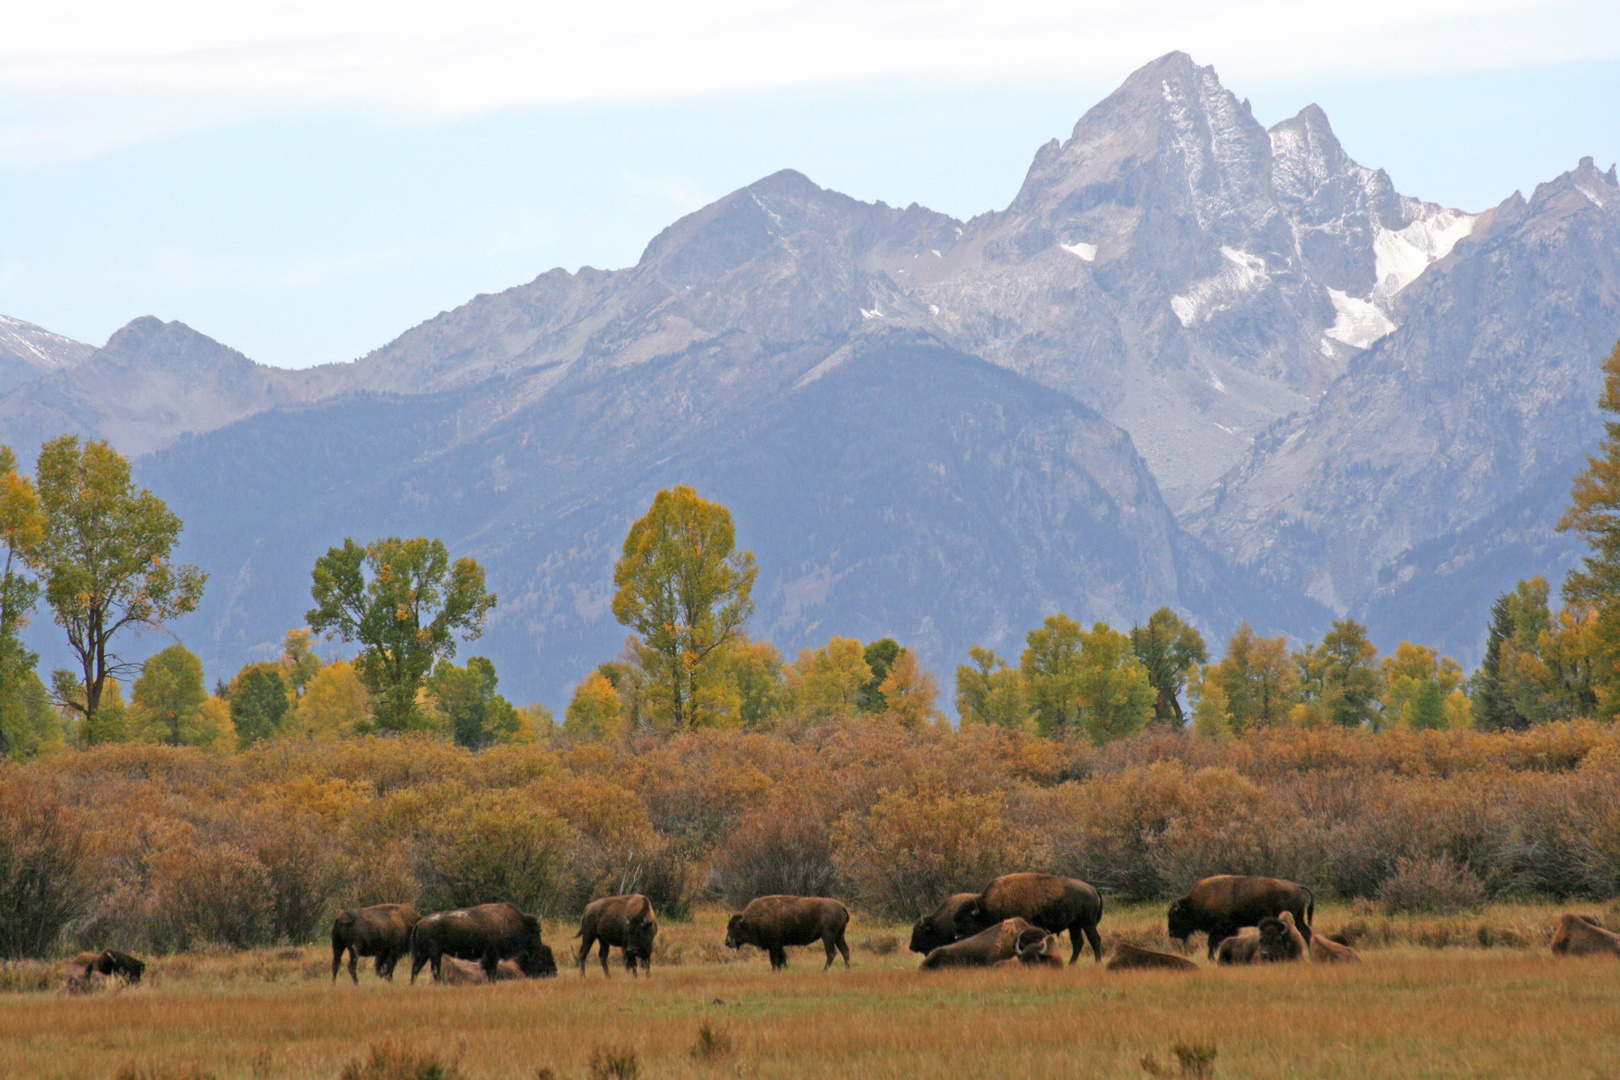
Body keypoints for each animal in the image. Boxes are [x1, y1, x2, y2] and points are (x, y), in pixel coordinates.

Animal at [405, 900, 557, 984]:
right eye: (536, 931)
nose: (539, 947)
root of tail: (419, 923)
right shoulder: (492, 955)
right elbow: (491, 970)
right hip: (434, 954)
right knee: (431, 970)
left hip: (425, 954)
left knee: (416, 968)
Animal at [952, 874, 1108, 965]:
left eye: (967, 920)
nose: (957, 937)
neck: (986, 907)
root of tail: (1092, 888)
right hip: (1074, 925)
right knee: (1078, 943)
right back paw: (1071, 964)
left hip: (1088, 924)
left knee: (1094, 940)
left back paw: (1098, 962)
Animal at [1166, 874, 1315, 958]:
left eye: (1175, 916)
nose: (1172, 933)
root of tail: (1297, 886)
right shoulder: (1230, 928)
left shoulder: (1219, 929)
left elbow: (1212, 942)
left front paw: (1211, 958)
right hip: (1299, 918)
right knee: (1306, 933)